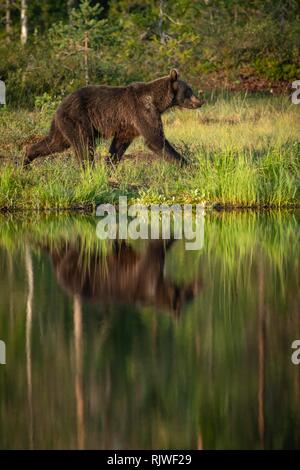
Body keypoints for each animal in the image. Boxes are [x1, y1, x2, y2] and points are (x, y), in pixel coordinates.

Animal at [24, 68, 204, 167]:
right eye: (189, 90)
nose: (200, 101)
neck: (157, 101)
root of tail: (59, 106)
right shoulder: (142, 111)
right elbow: (156, 140)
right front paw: (189, 166)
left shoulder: (128, 126)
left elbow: (118, 146)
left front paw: (109, 167)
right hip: (78, 118)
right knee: (84, 145)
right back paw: (88, 171)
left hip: (63, 124)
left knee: (55, 142)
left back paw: (26, 159)